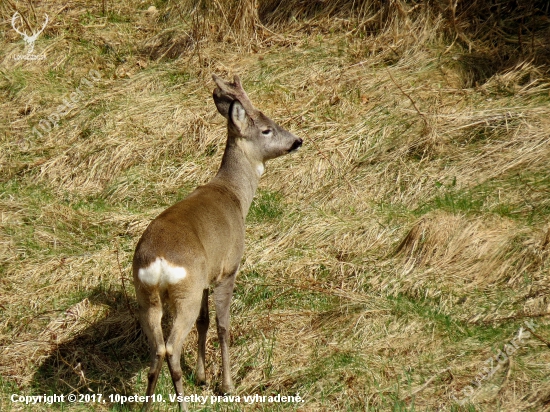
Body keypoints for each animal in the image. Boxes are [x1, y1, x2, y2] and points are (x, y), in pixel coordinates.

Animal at [134, 75, 306, 412]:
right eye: (266, 128)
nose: (297, 141)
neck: (234, 194)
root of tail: (158, 261)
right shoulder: (228, 268)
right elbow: (223, 324)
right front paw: (226, 385)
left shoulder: (207, 275)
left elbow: (204, 321)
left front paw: (202, 377)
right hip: (183, 292)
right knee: (171, 347)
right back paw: (183, 404)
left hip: (146, 294)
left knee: (156, 349)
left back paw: (149, 405)